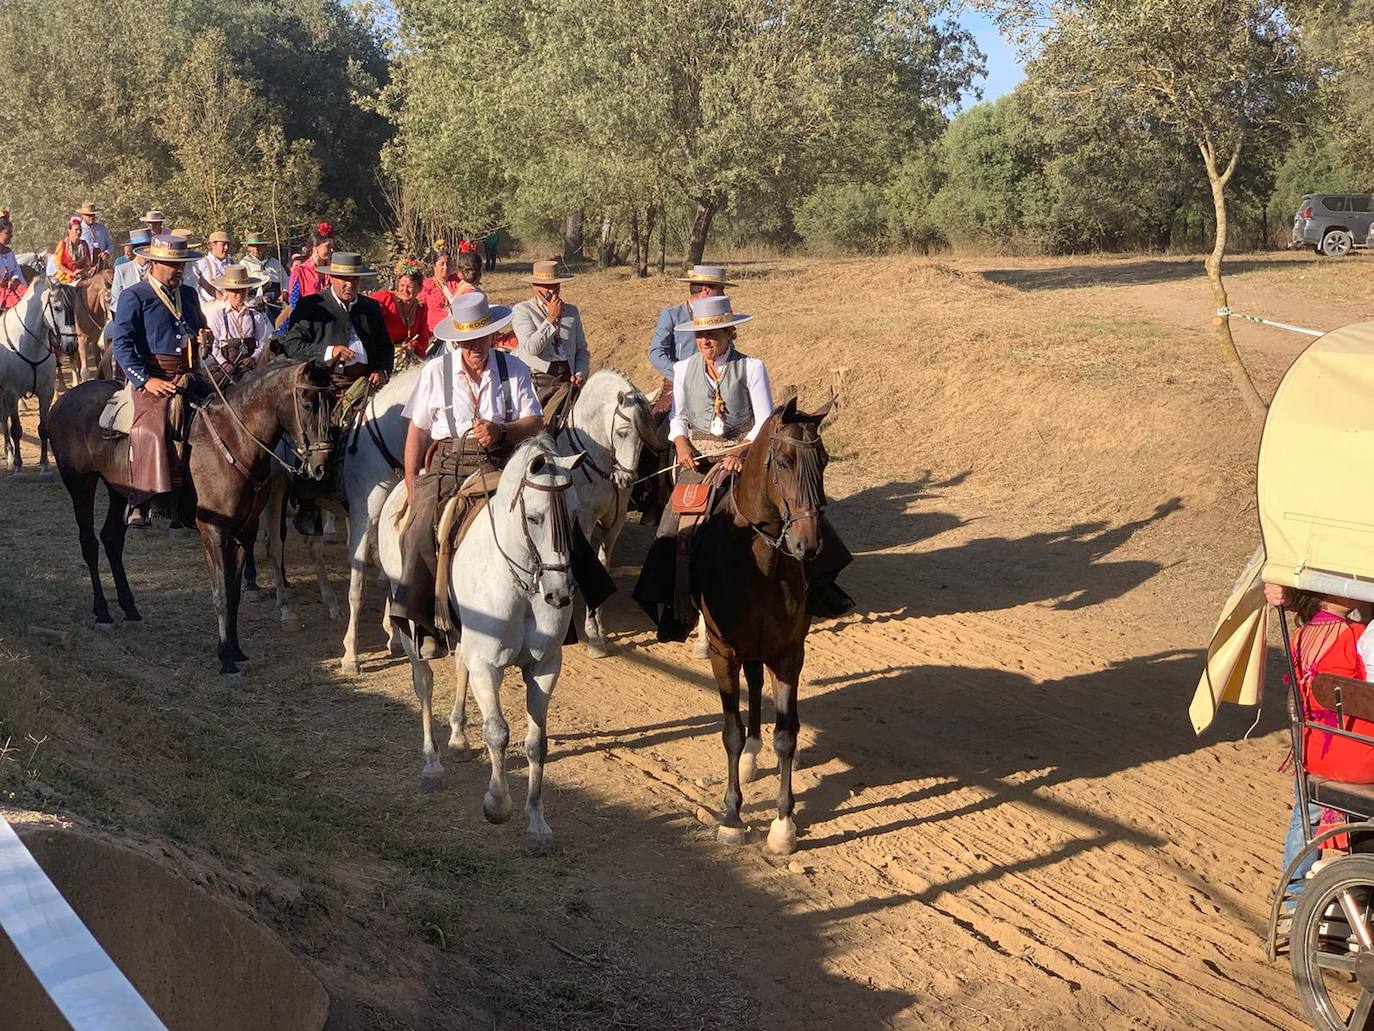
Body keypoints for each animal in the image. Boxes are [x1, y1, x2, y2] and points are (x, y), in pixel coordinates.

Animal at [0, 266, 77, 475]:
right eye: (57, 308)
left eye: (74, 309)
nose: (71, 345)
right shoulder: (11, 393)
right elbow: (16, 429)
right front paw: (18, 465)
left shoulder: (46, 392)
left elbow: (43, 428)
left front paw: (44, 464)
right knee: (4, 421)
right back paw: (10, 457)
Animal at [50, 360, 338, 681]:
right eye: (308, 403)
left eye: (332, 400)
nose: (322, 466)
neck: (234, 439)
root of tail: (63, 400)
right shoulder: (212, 530)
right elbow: (220, 593)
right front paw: (225, 659)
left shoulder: (245, 531)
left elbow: (234, 593)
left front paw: (237, 651)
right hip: (81, 485)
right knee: (89, 543)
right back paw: (102, 612)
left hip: (119, 491)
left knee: (111, 539)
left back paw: (130, 610)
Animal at [376, 434, 585, 846]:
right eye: (534, 518)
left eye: (573, 514)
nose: (559, 594)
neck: (521, 585)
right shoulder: (488, 664)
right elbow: (498, 732)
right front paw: (497, 804)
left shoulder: (544, 667)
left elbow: (537, 742)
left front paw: (537, 821)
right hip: (410, 631)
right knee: (423, 684)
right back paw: (432, 765)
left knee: (459, 667)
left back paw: (458, 739)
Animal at [549, 371, 662, 657]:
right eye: (621, 433)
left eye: (643, 438)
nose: (625, 479)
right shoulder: (584, 523)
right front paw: (592, 635)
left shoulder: (614, 524)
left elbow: (602, 566)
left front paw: (599, 629)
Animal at [692, 395, 829, 857]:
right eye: (783, 460)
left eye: (824, 460)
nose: (808, 545)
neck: (761, 565)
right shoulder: (723, 654)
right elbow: (731, 732)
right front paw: (732, 817)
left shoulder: (788, 652)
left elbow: (785, 735)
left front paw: (783, 824)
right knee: (752, 684)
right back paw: (751, 754)